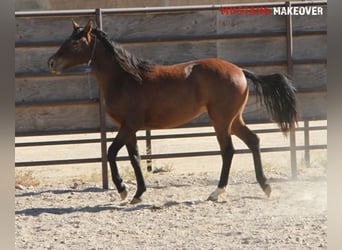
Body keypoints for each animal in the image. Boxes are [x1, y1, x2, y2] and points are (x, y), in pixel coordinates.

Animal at [48, 19, 296, 203]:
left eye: (75, 42)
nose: (51, 62)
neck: (126, 79)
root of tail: (240, 71)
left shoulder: (128, 126)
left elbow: (110, 153)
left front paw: (122, 190)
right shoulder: (129, 129)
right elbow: (135, 158)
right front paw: (138, 194)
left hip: (221, 120)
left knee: (228, 151)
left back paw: (217, 192)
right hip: (234, 119)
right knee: (253, 141)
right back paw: (265, 186)